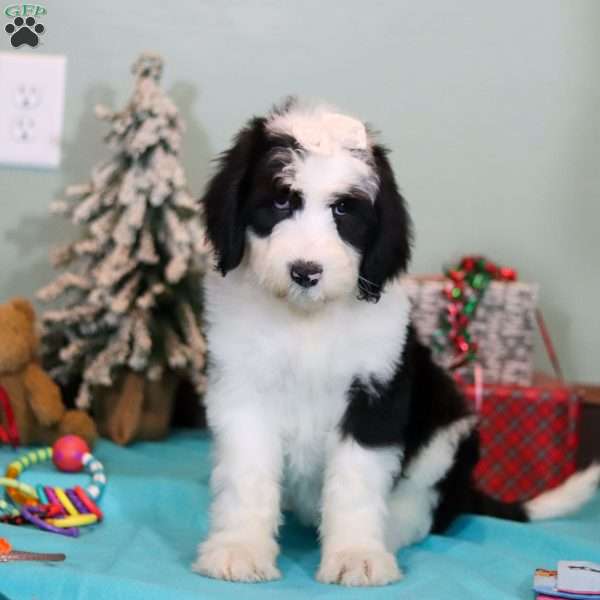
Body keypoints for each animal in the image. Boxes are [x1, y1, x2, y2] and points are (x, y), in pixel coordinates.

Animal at [195, 99, 596, 584]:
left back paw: (387, 536)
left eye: (343, 210)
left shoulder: (377, 392)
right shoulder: (243, 387)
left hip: (449, 426)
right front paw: (239, 548)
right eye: (279, 200)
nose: (306, 272)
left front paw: (356, 555)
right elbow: (247, 474)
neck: (307, 321)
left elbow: (357, 479)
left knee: (422, 507)